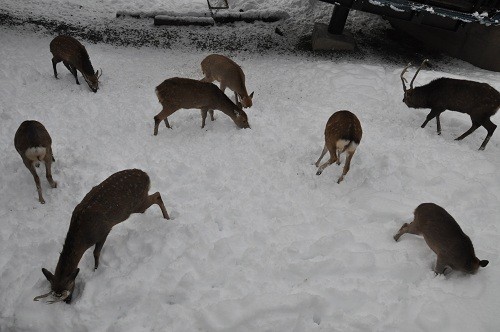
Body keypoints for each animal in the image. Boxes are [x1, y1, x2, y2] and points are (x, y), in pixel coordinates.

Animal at [33, 169, 170, 304]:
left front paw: (96, 269)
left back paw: (167, 218)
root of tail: (146, 175)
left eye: (69, 289)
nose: (68, 302)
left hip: (138, 204)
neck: (83, 236)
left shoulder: (104, 231)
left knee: (157, 195)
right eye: (53, 291)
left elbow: (96, 252)